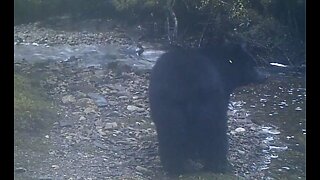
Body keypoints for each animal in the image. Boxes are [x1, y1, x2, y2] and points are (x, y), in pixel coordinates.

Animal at [149, 42, 266, 174]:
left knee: (170, 131)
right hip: (207, 102)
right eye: (253, 65)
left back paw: (174, 166)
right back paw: (219, 164)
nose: (264, 77)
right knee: (215, 130)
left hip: (165, 106)